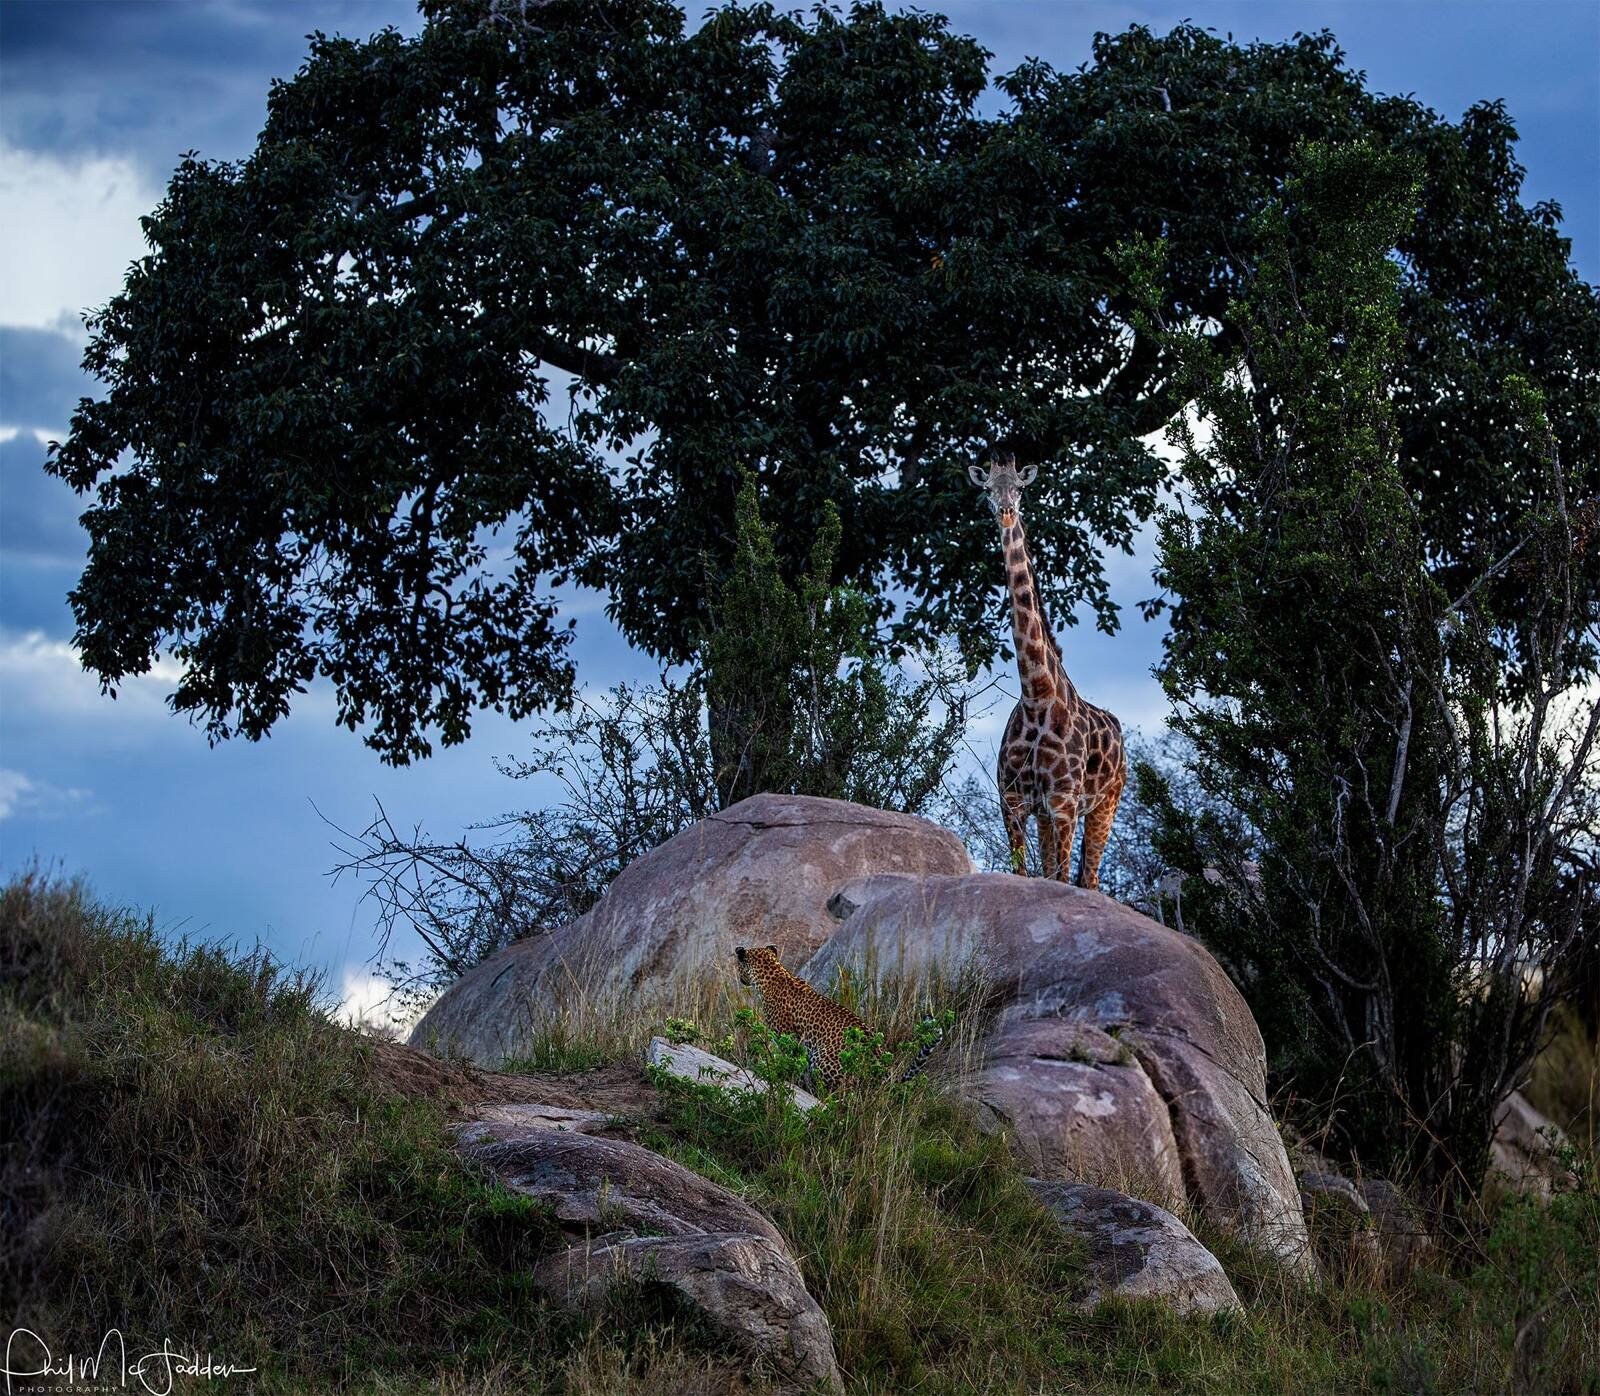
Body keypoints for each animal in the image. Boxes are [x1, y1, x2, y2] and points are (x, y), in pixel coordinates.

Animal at [734, 944, 943, 1091]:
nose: (740, 979)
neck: (773, 973)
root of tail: (882, 1075)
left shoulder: (789, 1039)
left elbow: (791, 1063)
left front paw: (789, 1080)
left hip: (822, 1058)